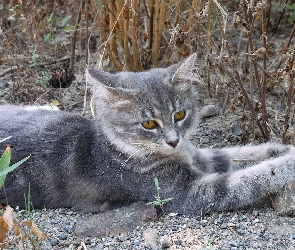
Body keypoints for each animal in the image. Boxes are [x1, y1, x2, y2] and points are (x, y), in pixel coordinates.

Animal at [0, 53, 295, 214]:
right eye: (149, 124)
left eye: (180, 115)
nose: (173, 141)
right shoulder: (189, 194)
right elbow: (254, 177)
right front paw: (288, 162)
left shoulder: (196, 154)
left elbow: (233, 153)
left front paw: (279, 148)